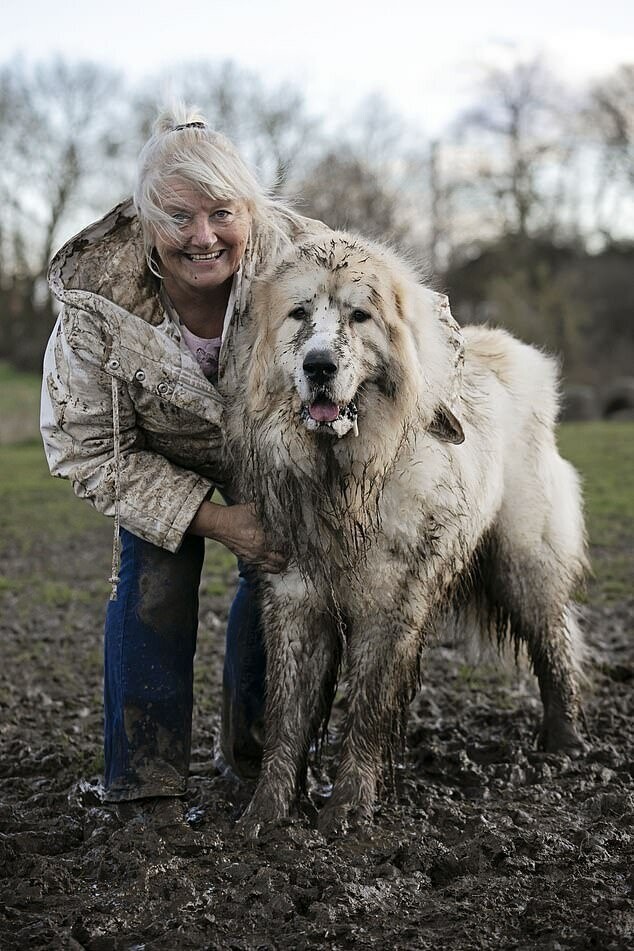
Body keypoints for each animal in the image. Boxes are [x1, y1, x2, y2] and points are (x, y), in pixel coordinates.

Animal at [223, 234, 588, 836]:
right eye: (299, 313)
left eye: (359, 316)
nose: (319, 365)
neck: (343, 481)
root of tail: (511, 351)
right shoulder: (296, 602)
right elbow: (287, 714)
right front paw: (267, 810)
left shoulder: (388, 606)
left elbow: (368, 708)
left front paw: (349, 804)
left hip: (524, 562)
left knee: (554, 646)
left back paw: (565, 743)